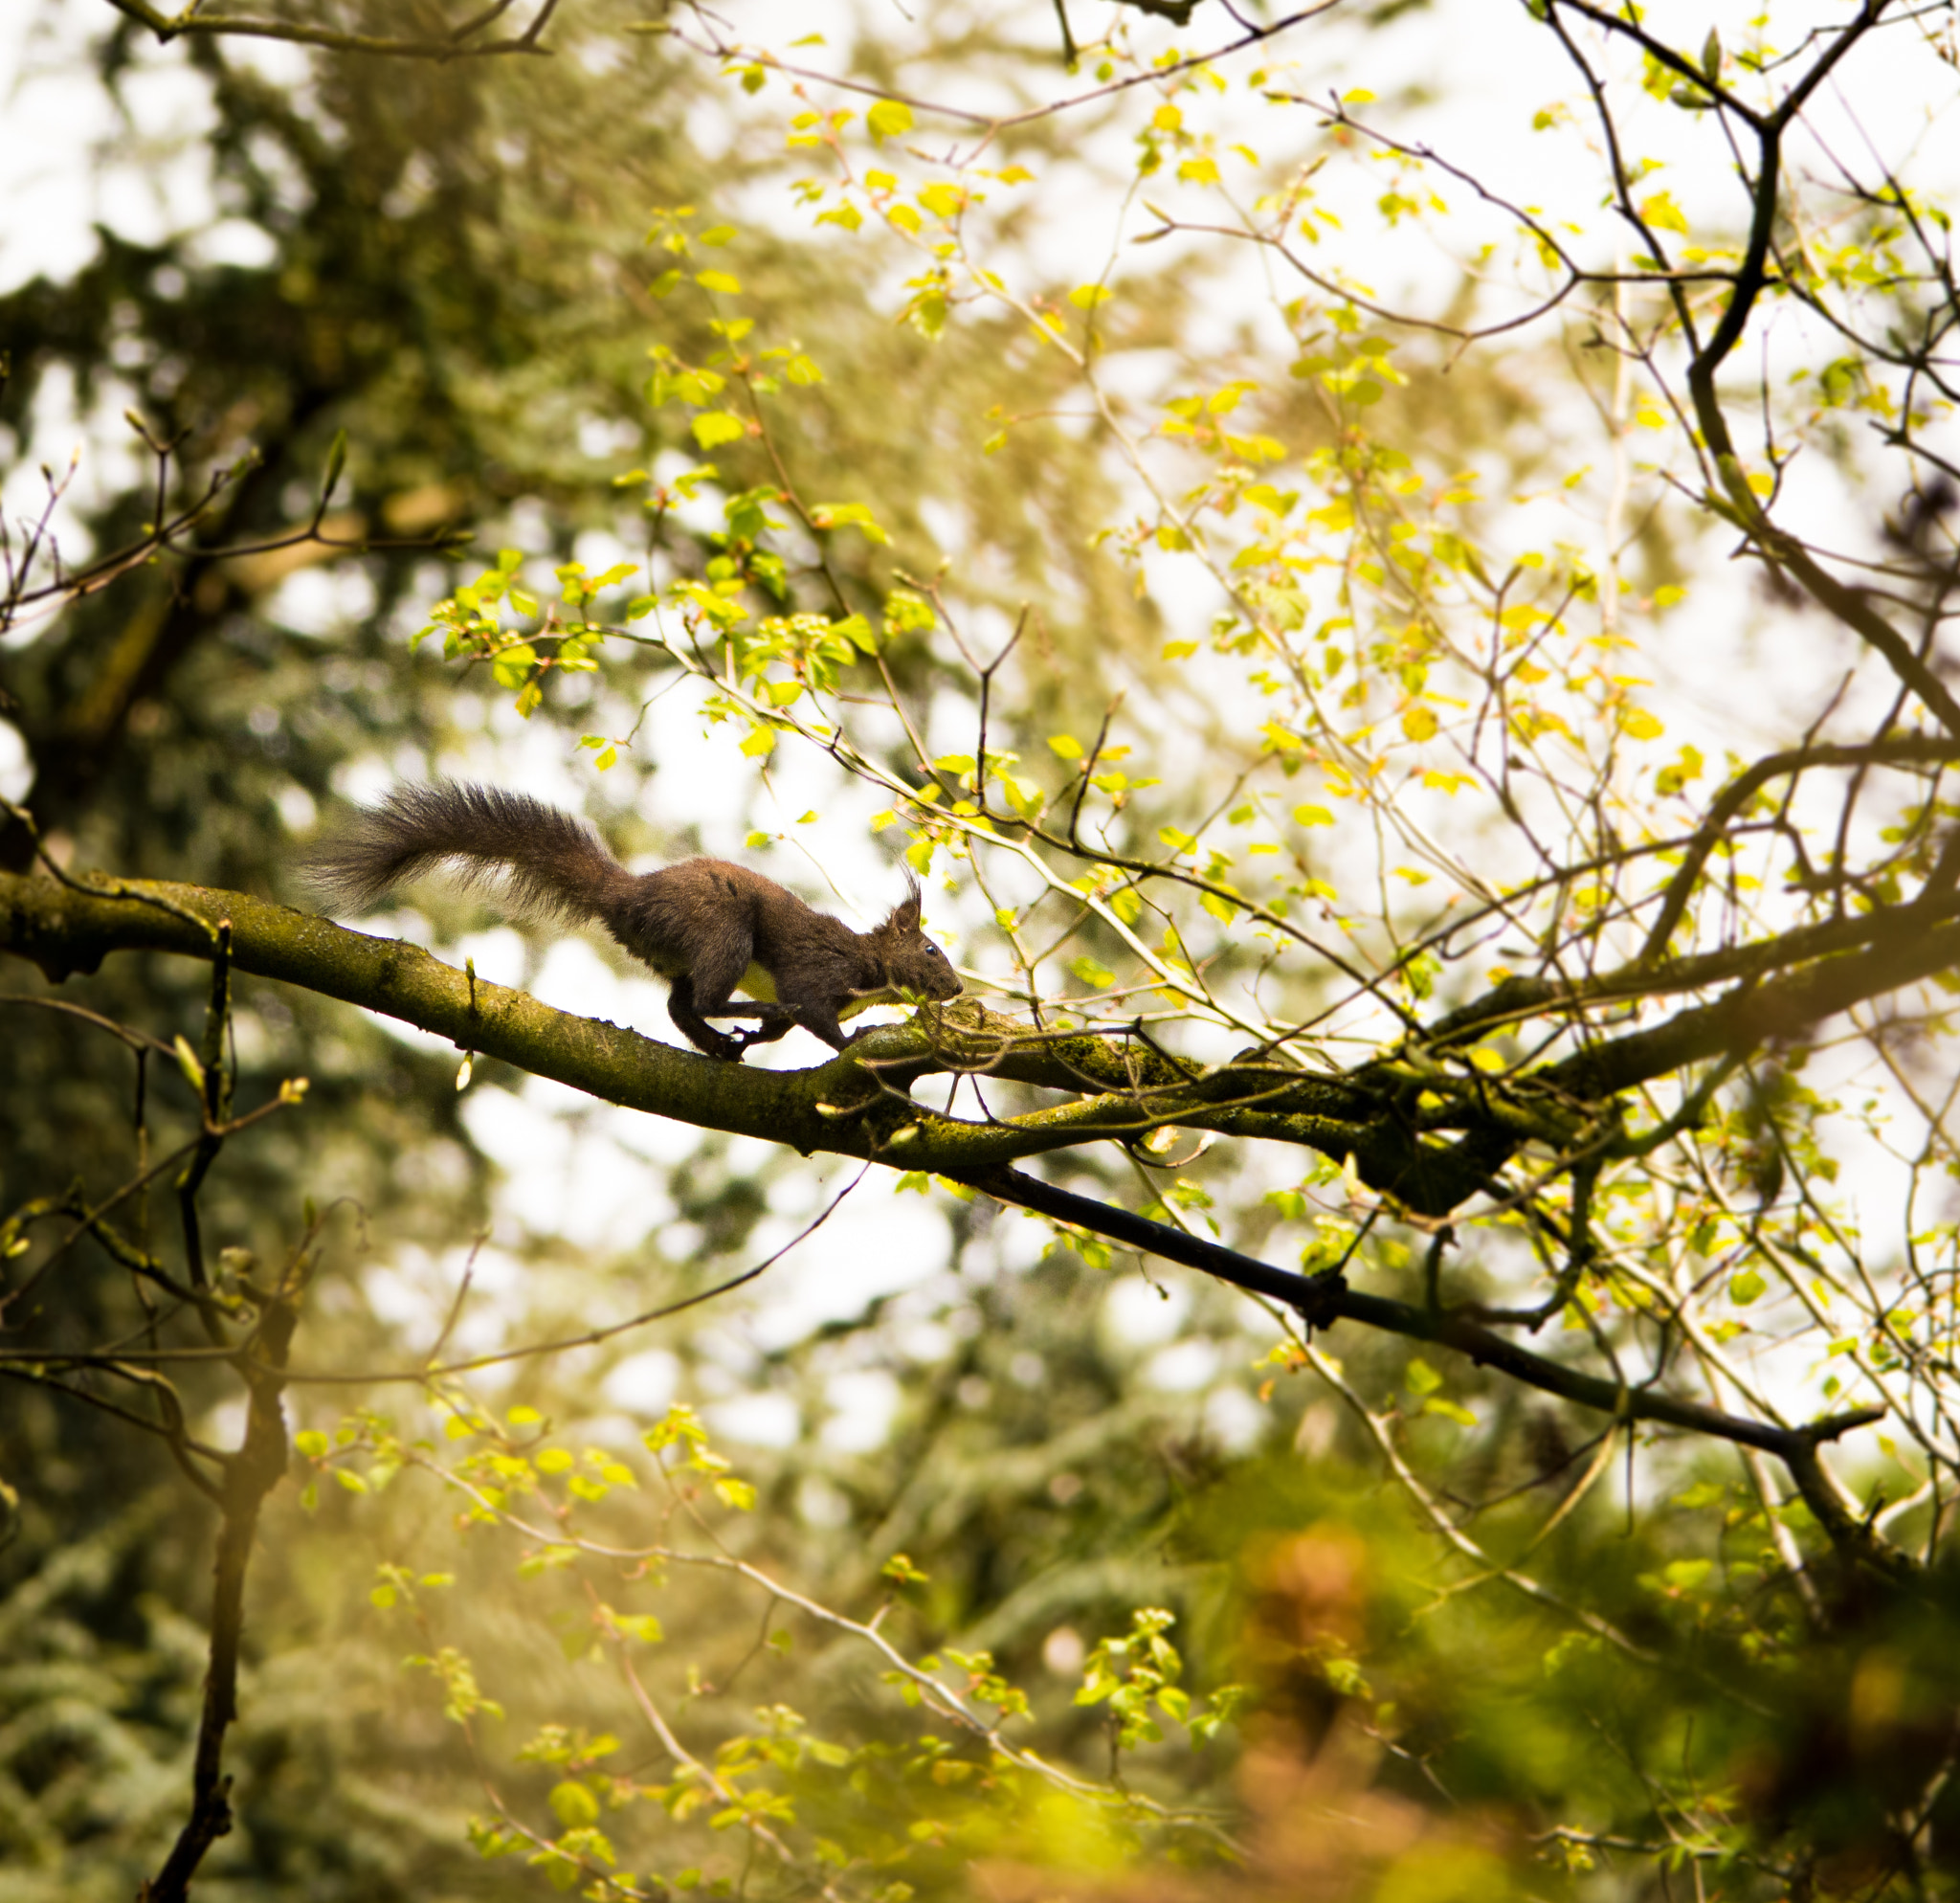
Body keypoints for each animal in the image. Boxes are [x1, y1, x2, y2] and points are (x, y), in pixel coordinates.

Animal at [306, 782, 961, 1062]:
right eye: (931, 951)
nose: (957, 988)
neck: (871, 966)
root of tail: (627, 897)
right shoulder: (816, 972)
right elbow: (813, 1013)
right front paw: (851, 1040)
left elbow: (789, 1027)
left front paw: (762, 1039)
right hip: (724, 934)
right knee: (708, 998)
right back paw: (746, 1013)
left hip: (682, 953)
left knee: (681, 1005)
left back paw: (718, 1043)